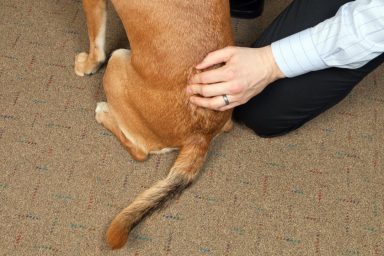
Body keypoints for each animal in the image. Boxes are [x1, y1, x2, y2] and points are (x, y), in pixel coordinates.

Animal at [74, 0, 232, 249]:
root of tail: (201, 135)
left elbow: (96, 47)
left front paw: (87, 65)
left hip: (116, 64)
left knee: (139, 152)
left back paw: (104, 113)